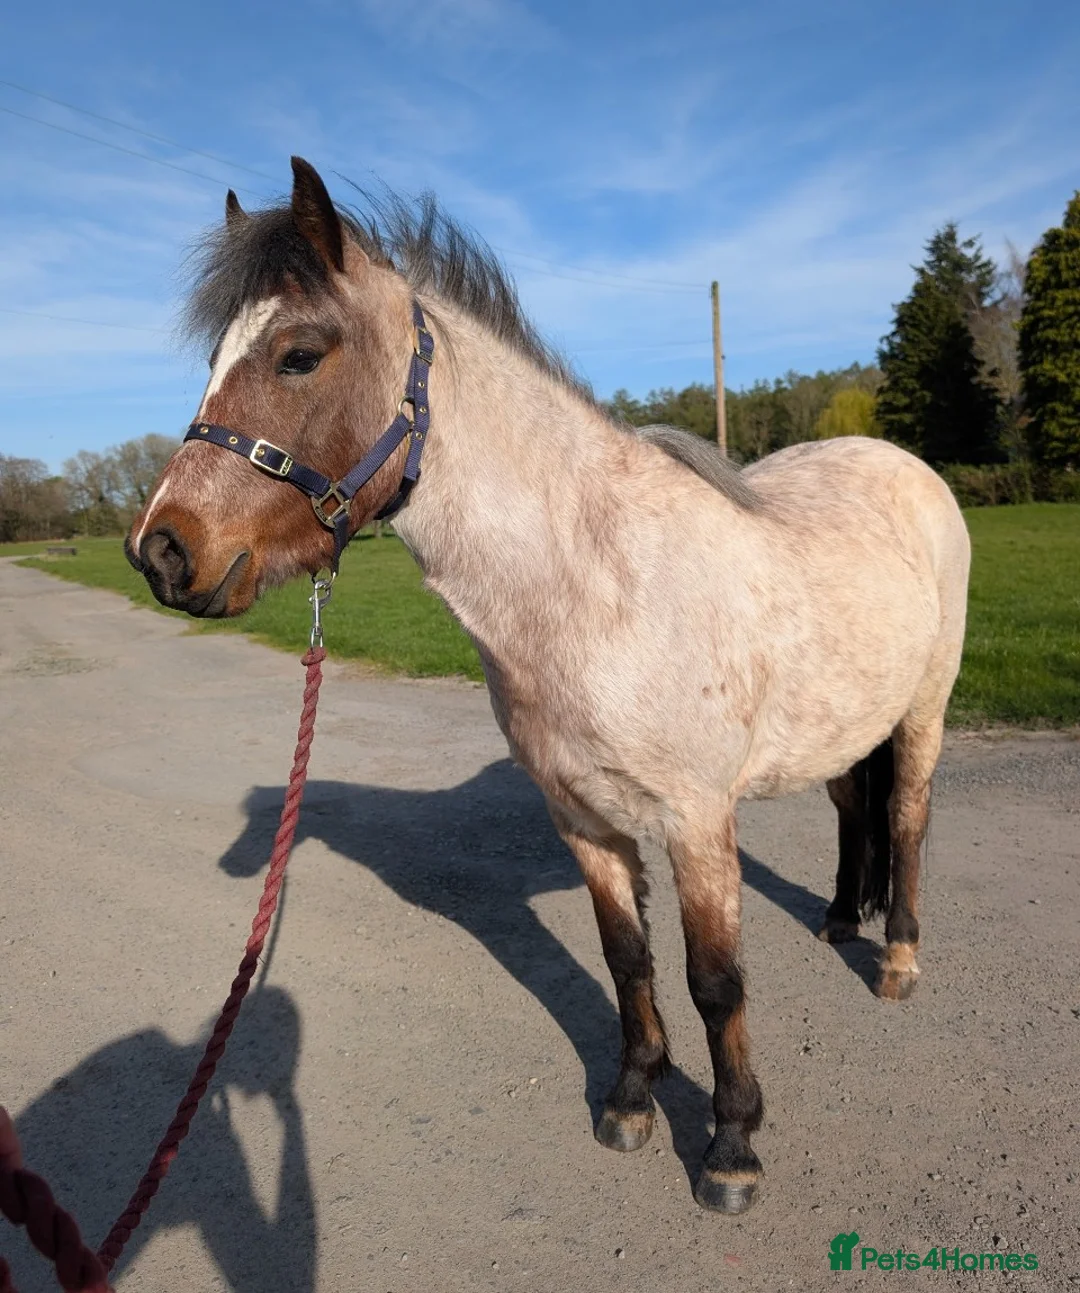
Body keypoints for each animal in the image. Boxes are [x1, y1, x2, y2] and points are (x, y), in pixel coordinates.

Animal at [125, 158, 970, 1214]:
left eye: (298, 355)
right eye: (214, 357)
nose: (161, 551)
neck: (596, 584)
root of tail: (902, 466)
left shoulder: (697, 822)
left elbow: (715, 981)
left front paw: (732, 1147)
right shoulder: (583, 818)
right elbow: (626, 958)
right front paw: (632, 1101)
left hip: (924, 708)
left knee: (906, 817)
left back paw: (896, 957)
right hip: (844, 722)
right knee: (857, 805)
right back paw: (838, 919)